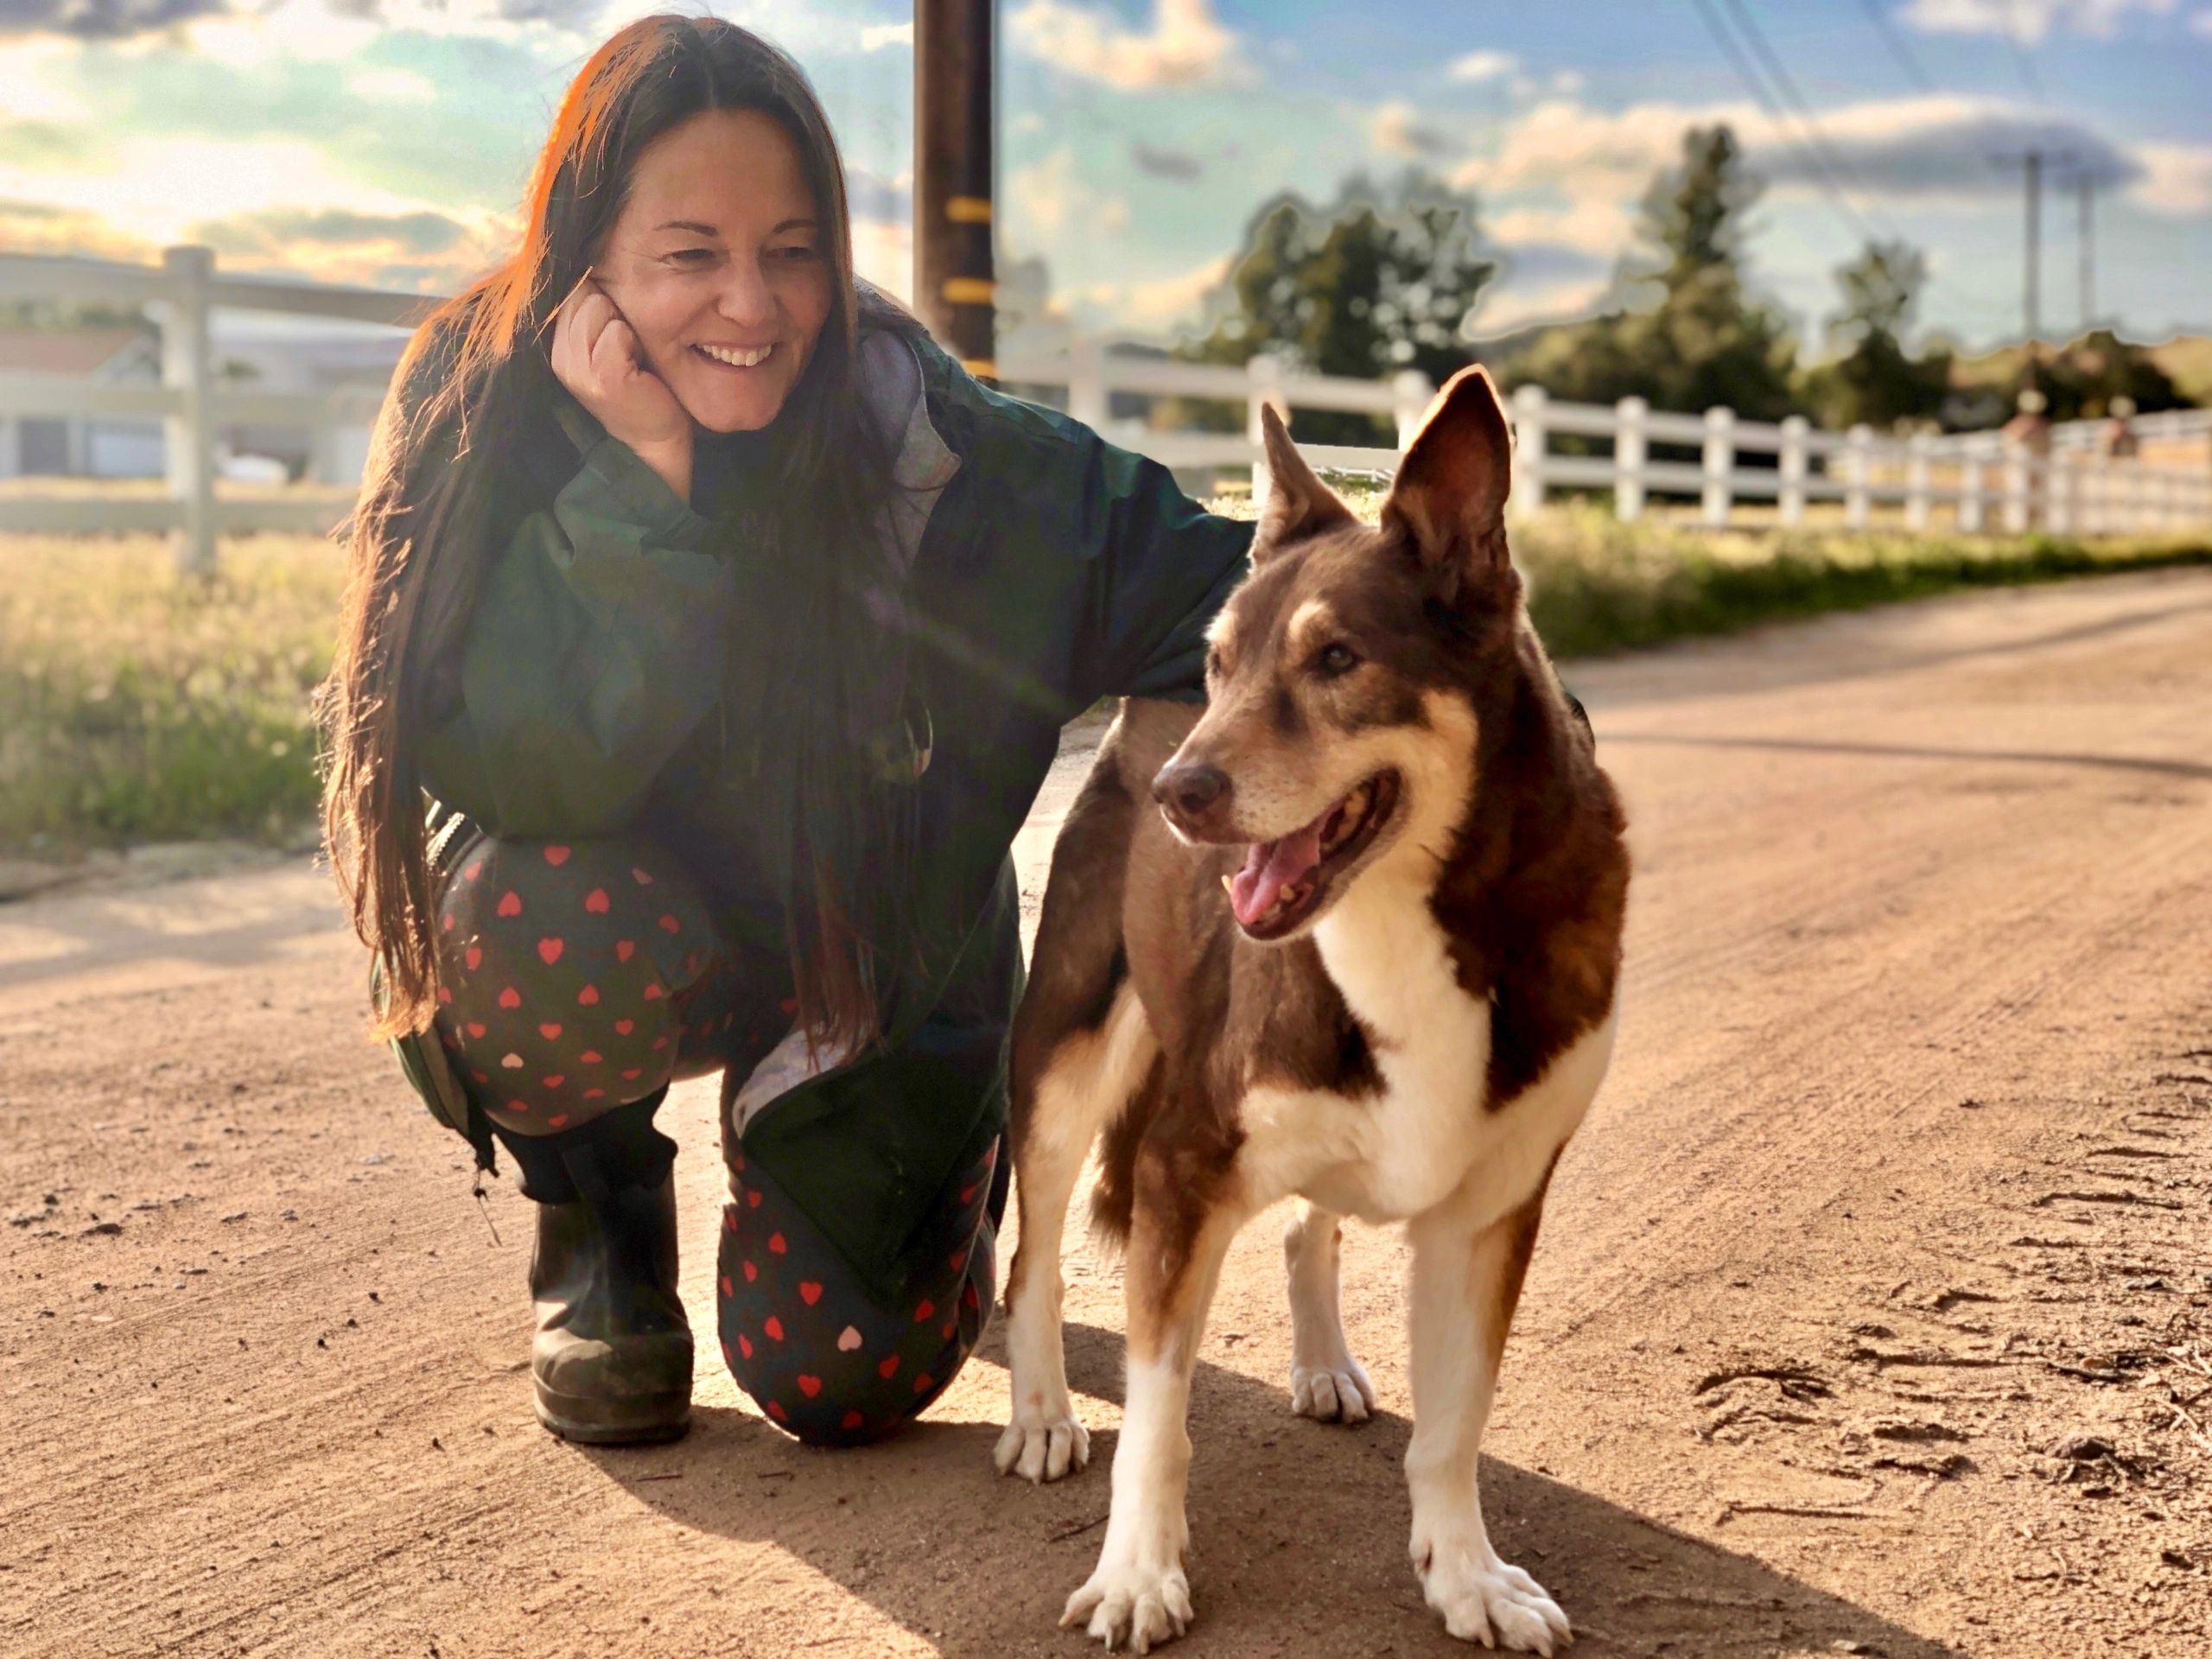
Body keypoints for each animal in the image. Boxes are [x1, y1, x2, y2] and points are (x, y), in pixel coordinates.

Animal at [995, 369, 1637, 1654]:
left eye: (1338, 657)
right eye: (1219, 664)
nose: (1179, 794)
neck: (1415, 918)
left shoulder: (1492, 1210)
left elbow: (1453, 1425)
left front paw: (1466, 1573)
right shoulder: (1181, 1172)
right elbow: (1158, 1420)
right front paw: (1139, 1572)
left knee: (1310, 1229)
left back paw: (1323, 1361)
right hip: (1068, 1055)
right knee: (1034, 1247)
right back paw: (1039, 1406)